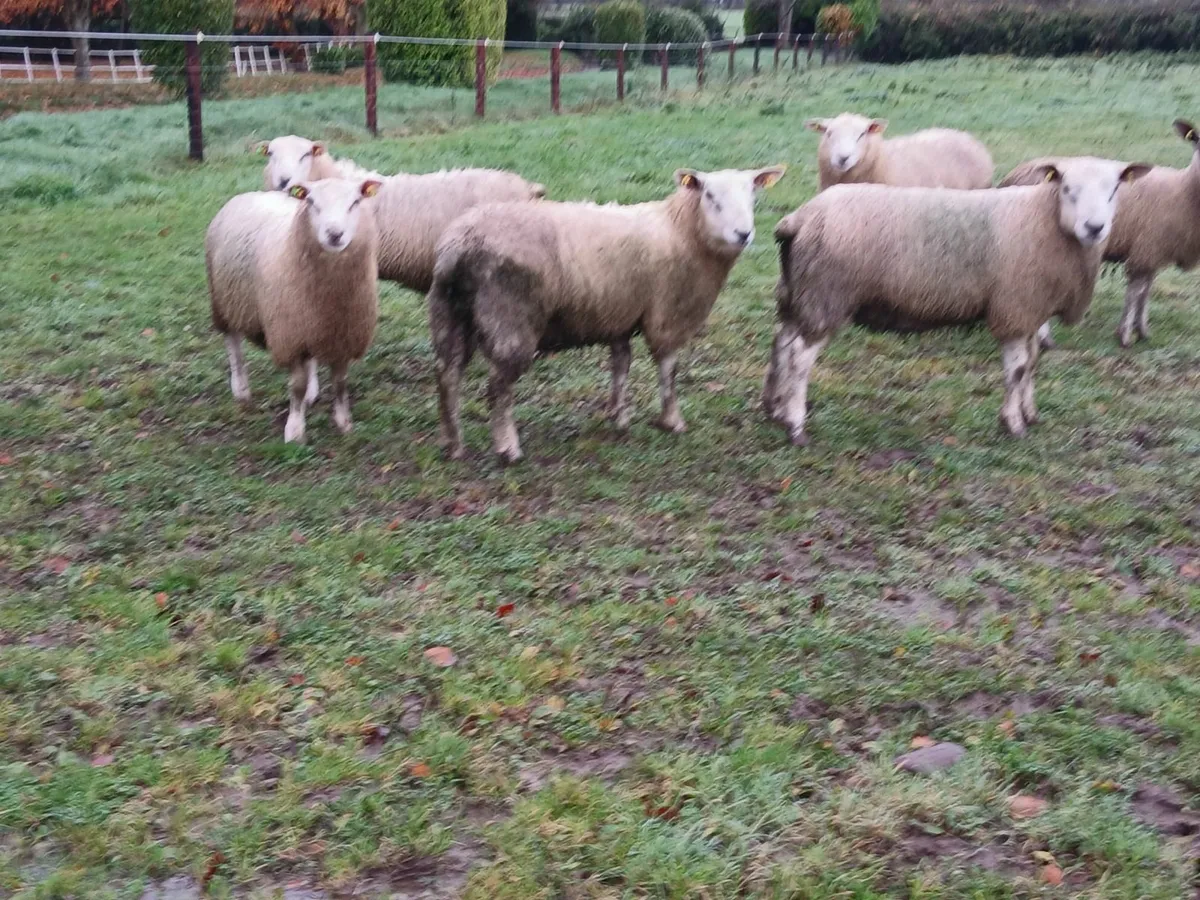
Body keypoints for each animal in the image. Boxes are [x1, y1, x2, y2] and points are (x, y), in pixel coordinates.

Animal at [206, 177, 382, 444]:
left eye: (355, 202)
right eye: (311, 202)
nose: (335, 234)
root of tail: (251, 193)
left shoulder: (342, 333)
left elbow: (340, 382)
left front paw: (343, 423)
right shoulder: (289, 335)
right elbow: (296, 386)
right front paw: (295, 431)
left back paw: (311, 392)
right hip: (224, 301)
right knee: (233, 345)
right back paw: (241, 390)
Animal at [427, 165, 787, 463]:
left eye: (753, 195)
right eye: (710, 195)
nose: (743, 234)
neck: (683, 231)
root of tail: (461, 244)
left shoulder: (619, 314)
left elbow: (620, 365)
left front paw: (617, 415)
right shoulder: (667, 314)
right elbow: (668, 369)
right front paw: (672, 421)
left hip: (449, 312)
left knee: (447, 374)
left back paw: (452, 444)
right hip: (509, 318)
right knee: (497, 387)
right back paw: (507, 448)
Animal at [763, 157, 1151, 446]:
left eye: (1115, 189)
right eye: (1068, 189)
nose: (1095, 228)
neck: (1045, 218)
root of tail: (800, 218)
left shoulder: (1030, 309)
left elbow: (1032, 364)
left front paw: (1029, 414)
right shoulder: (1014, 308)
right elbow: (1016, 370)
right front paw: (1012, 424)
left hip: (797, 292)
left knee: (781, 342)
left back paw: (773, 409)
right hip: (826, 295)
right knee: (799, 358)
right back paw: (795, 426)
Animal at [1001, 120, 1199, 348]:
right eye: (1196, 140)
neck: (1183, 187)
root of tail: (1015, 173)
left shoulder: (1152, 253)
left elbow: (1145, 292)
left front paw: (1142, 331)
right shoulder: (1144, 251)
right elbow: (1135, 293)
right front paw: (1125, 336)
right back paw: (1043, 338)